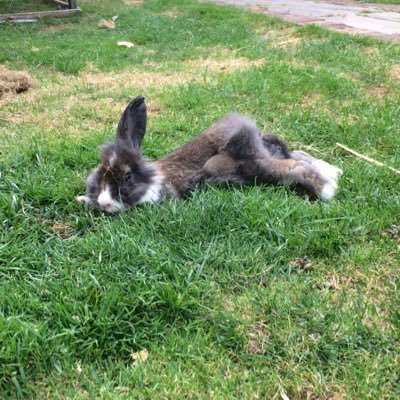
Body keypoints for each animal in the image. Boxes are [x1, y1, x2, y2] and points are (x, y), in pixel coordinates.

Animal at [76, 96, 342, 212]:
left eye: (128, 177)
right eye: (99, 176)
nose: (105, 203)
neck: (154, 178)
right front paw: (82, 199)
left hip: (254, 166)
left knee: (295, 167)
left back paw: (327, 189)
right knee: (298, 154)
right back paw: (335, 171)